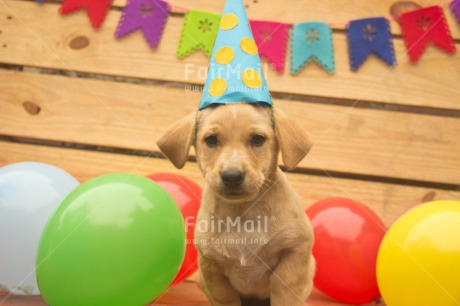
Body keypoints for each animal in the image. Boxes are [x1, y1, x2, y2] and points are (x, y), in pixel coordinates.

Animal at [156, 103, 314, 306]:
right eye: (211, 140)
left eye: (258, 139)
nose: (232, 176)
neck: (243, 213)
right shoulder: (212, 268)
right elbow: (225, 298)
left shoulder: (294, 251)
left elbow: (285, 295)